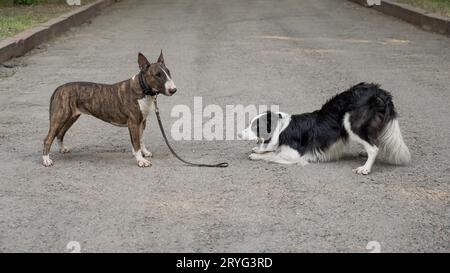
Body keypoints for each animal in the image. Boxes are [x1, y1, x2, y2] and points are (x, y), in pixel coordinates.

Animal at [241, 82, 410, 173]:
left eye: (254, 126)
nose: (239, 134)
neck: (281, 128)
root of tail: (378, 91)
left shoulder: (294, 155)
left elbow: (272, 155)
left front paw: (256, 155)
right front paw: (259, 149)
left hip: (350, 122)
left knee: (374, 148)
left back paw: (365, 168)